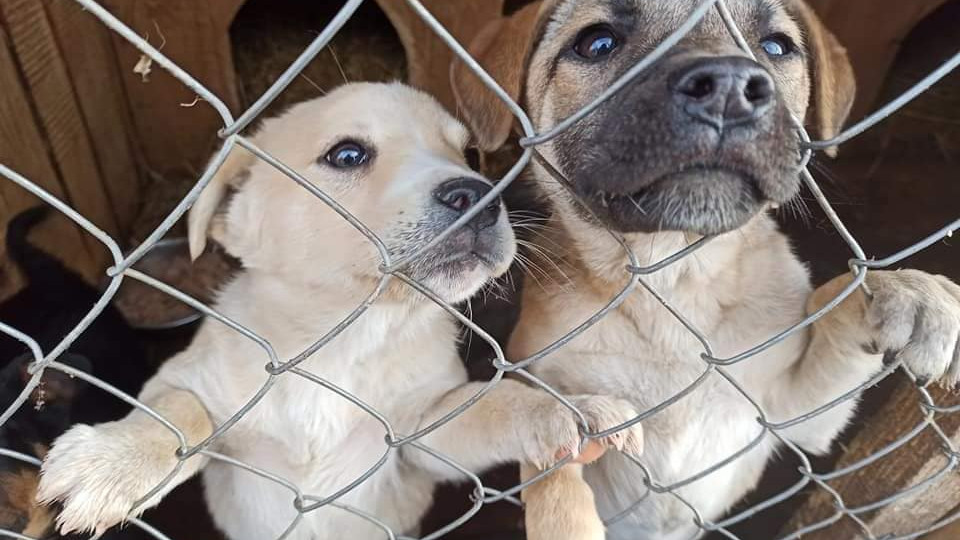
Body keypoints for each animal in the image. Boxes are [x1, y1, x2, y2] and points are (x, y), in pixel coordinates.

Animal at [35, 83, 644, 540]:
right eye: (347, 155)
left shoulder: (420, 434)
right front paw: (114, 462)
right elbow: (179, 413)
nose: (480, 197)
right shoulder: (186, 380)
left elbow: (497, 404)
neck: (343, 339)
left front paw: (571, 409)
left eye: (470, 154)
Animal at [454, 1, 960, 540]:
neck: (673, 281)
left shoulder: (793, 417)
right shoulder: (537, 379)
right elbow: (553, 470)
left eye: (777, 46)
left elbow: (836, 301)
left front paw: (907, 290)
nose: (728, 88)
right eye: (596, 43)